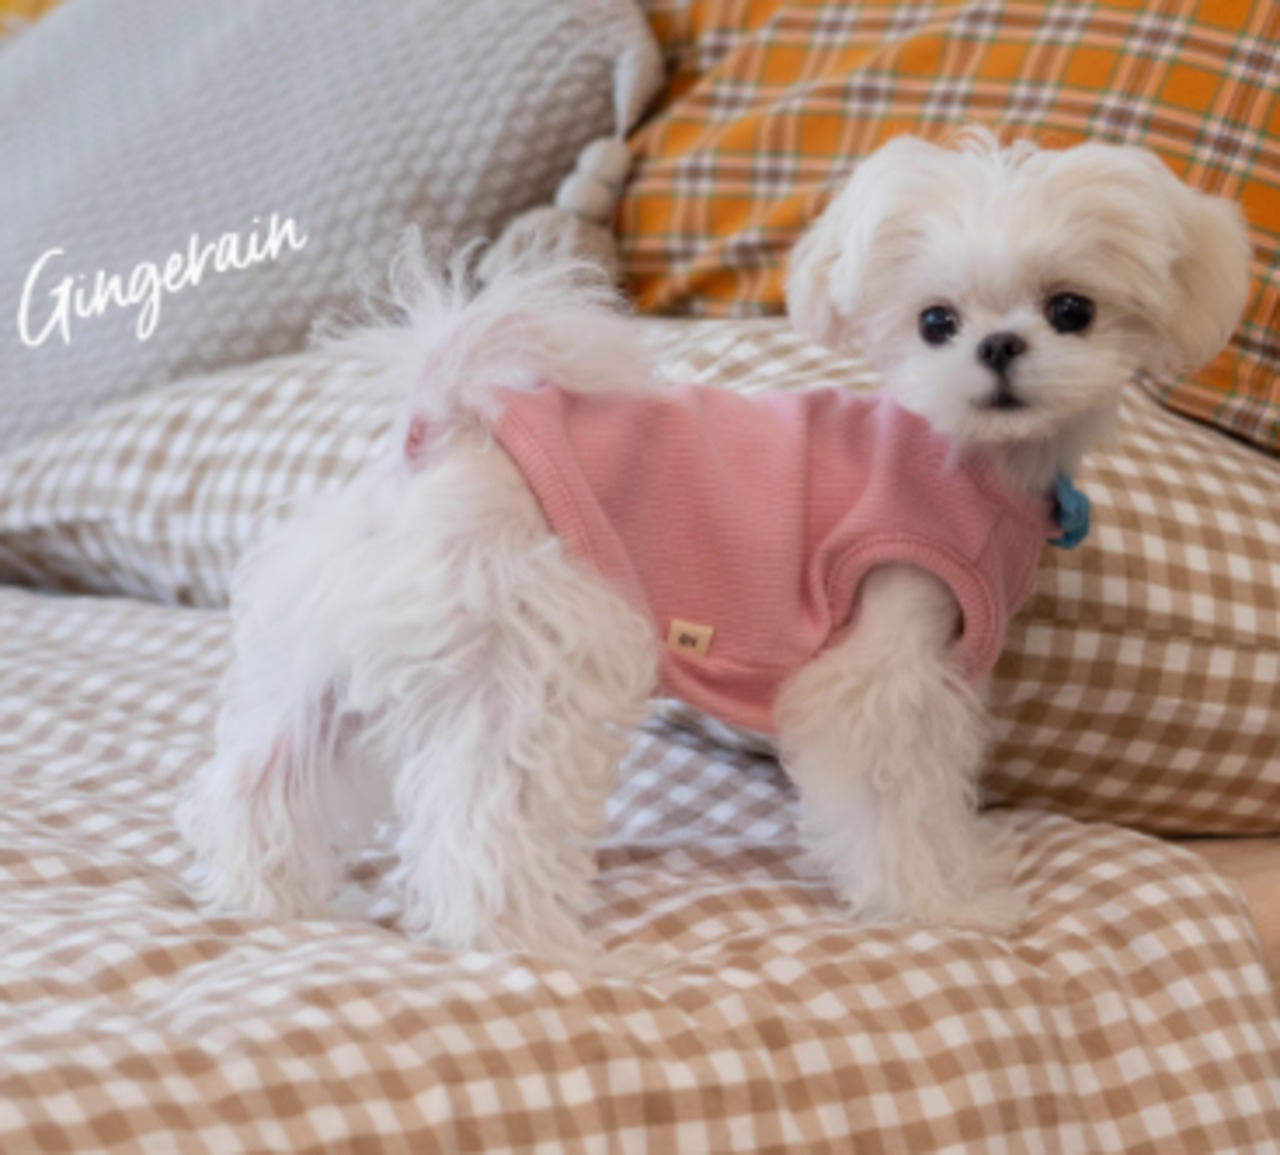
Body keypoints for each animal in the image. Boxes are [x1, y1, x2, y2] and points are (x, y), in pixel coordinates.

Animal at [177, 129, 1250, 963]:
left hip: (340, 646)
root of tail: (446, 420)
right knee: (486, 822)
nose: (997, 349)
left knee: (268, 773)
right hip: (533, 651)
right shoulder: (882, 661)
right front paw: (945, 904)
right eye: (935, 321)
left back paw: (269, 897)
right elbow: (898, 795)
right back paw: (528, 946)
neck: (968, 465)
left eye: (1072, 308)